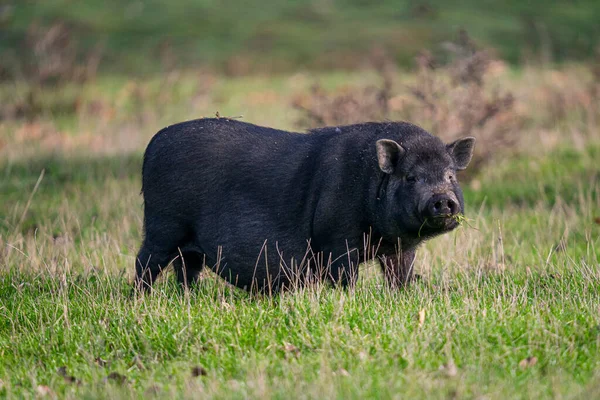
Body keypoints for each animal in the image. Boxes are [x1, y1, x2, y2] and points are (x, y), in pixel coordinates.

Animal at [135, 117, 474, 292]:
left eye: (450, 174)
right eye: (411, 177)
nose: (443, 199)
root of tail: (152, 144)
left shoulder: (400, 249)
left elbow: (400, 275)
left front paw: (400, 296)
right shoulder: (337, 239)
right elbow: (344, 276)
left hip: (186, 242)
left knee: (186, 269)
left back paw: (188, 298)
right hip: (163, 226)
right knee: (145, 263)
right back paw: (140, 299)